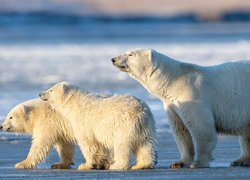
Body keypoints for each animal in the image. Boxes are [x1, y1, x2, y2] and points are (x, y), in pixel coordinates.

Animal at [112, 48, 250, 168]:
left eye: (131, 54)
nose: (113, 59)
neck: (174, 81)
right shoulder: (172, 104)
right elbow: (181, 130)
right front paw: (179, 162)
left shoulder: (193, 94)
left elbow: (201, 128)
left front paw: (198, 163)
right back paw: (241, 160)